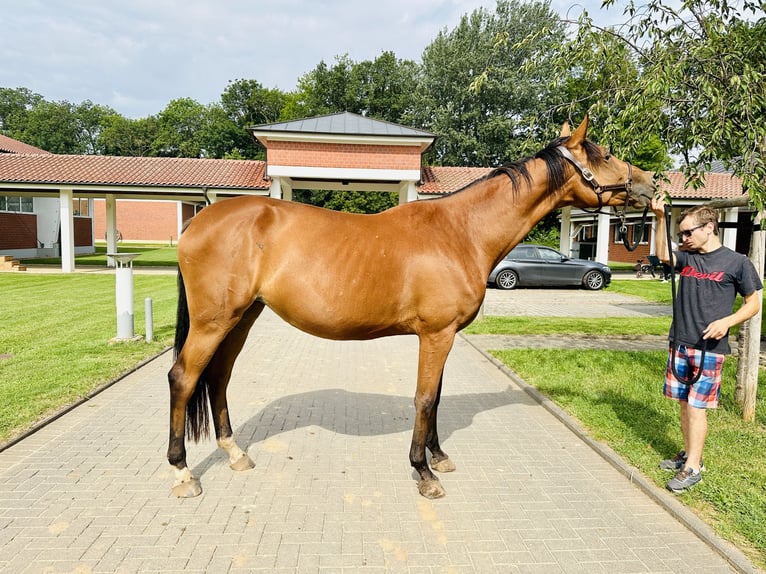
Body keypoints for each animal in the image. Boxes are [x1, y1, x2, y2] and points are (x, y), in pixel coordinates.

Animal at [166, 116, 656, 500]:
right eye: (604, 154)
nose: (651, 184)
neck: (460, 232)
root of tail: (198, 220)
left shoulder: (444, 337)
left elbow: (435, 397)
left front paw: (439, 457)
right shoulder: (436, 334)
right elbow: (423, 398)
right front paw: (424, 472)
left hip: (242, 318)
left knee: (218, 377)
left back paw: (234, 454)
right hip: (215, 321)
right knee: (184, 377)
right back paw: (183, 472)